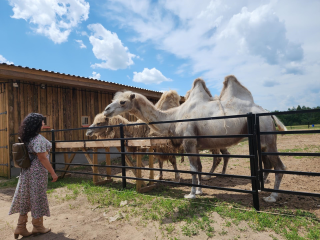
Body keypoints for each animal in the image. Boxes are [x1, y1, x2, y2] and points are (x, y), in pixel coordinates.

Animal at [103, 75, 288, 202]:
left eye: (122, 102)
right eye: (113, 99)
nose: (106, 110)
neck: (174, 117)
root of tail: (269, 113)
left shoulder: (189, 142)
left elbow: (193, 168)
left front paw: (191, 194)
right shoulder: (196, 145)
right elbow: (199, 167)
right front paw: (199, 191)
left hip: (267, 138)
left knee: (280, 166)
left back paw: (272, 197)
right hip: (260, 141)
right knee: (268, 164)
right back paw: (260, 189)